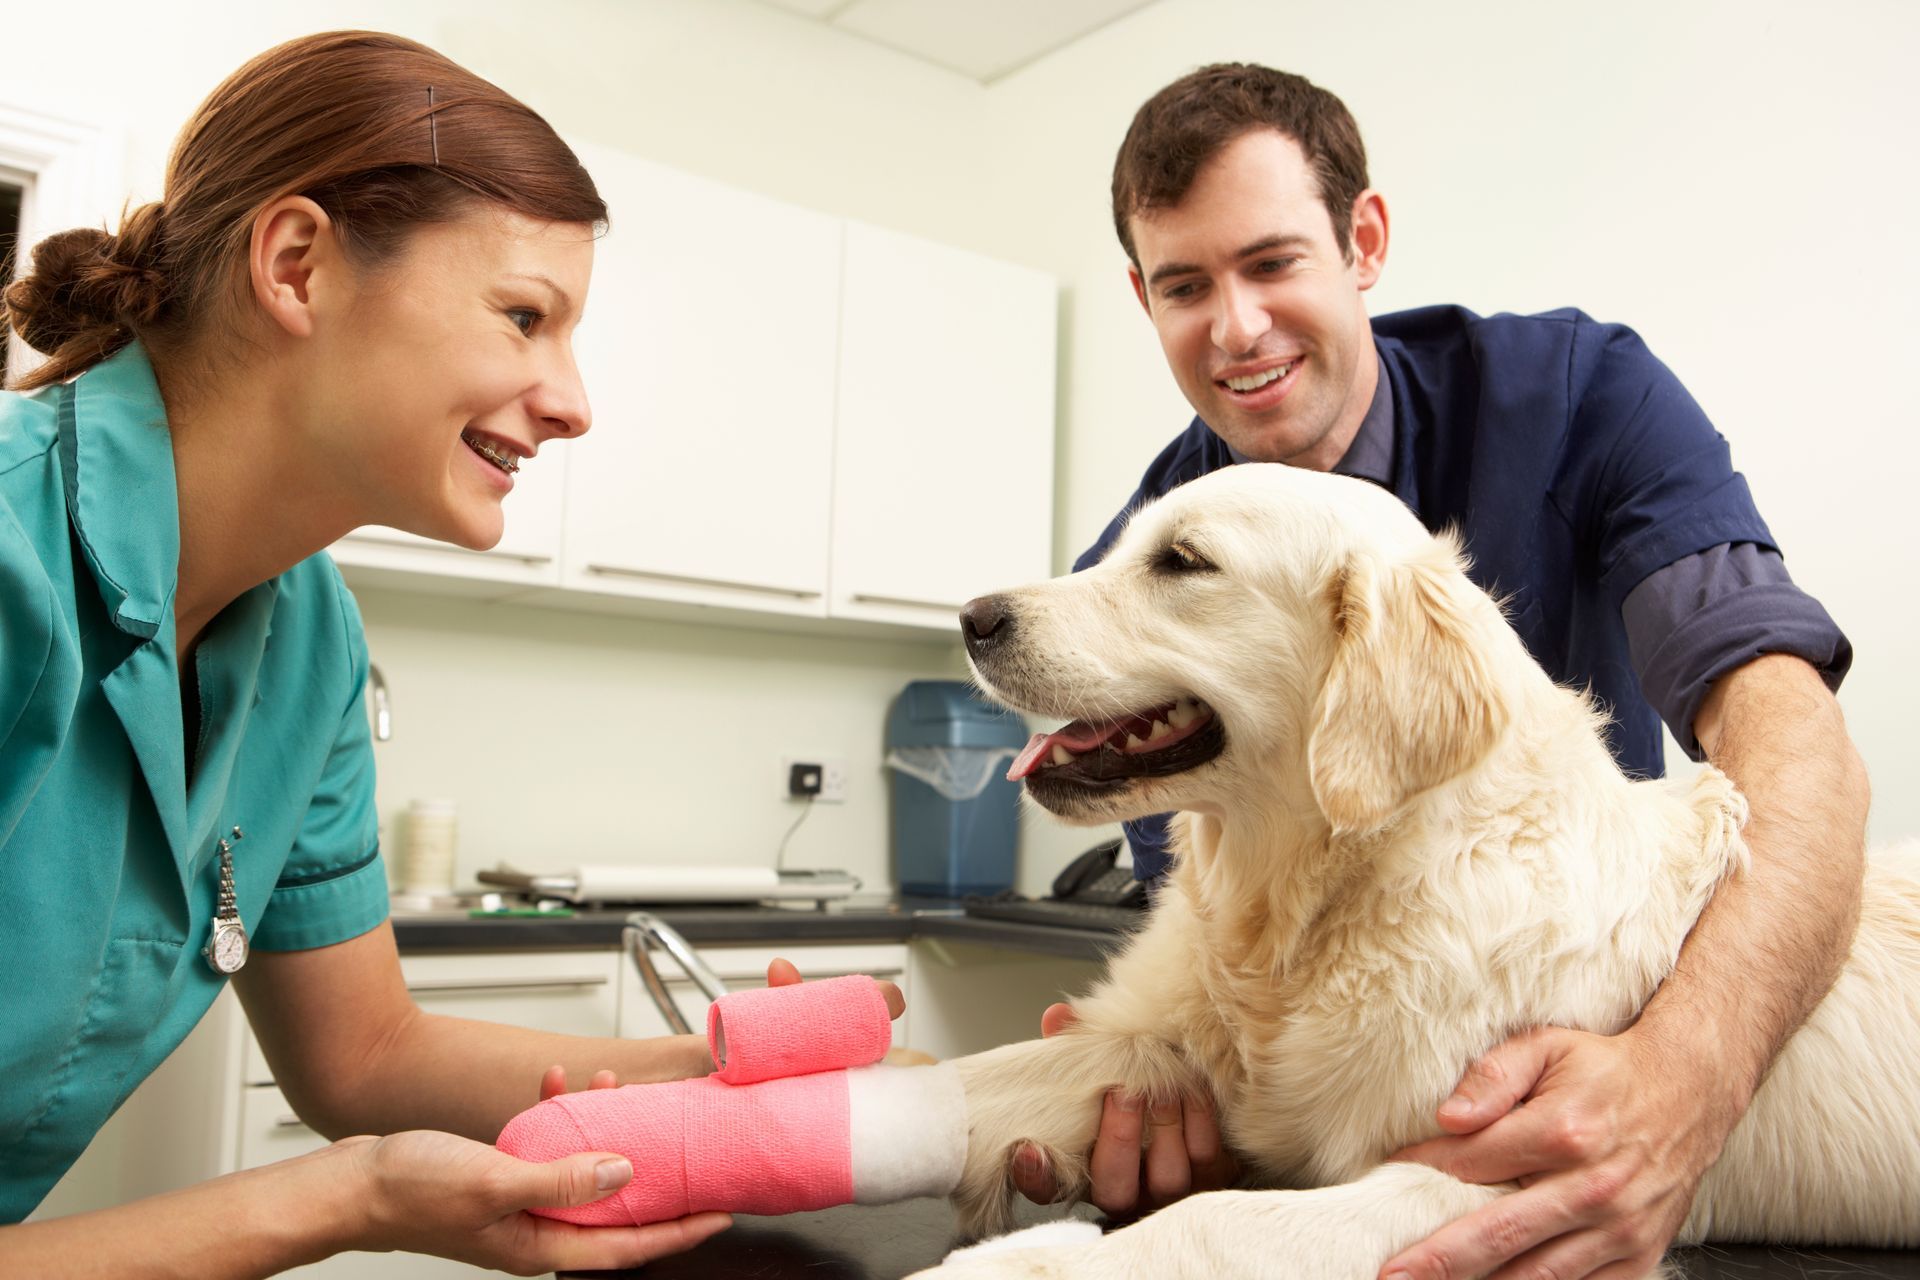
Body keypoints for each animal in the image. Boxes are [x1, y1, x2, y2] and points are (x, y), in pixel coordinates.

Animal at [921, 466, 1912, 1274]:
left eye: (1185, 562)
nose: (970, 620)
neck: (1313, 910)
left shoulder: (1516, 1180)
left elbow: (1206, 1224)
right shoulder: (1159, 1048)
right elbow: (967, 1083)